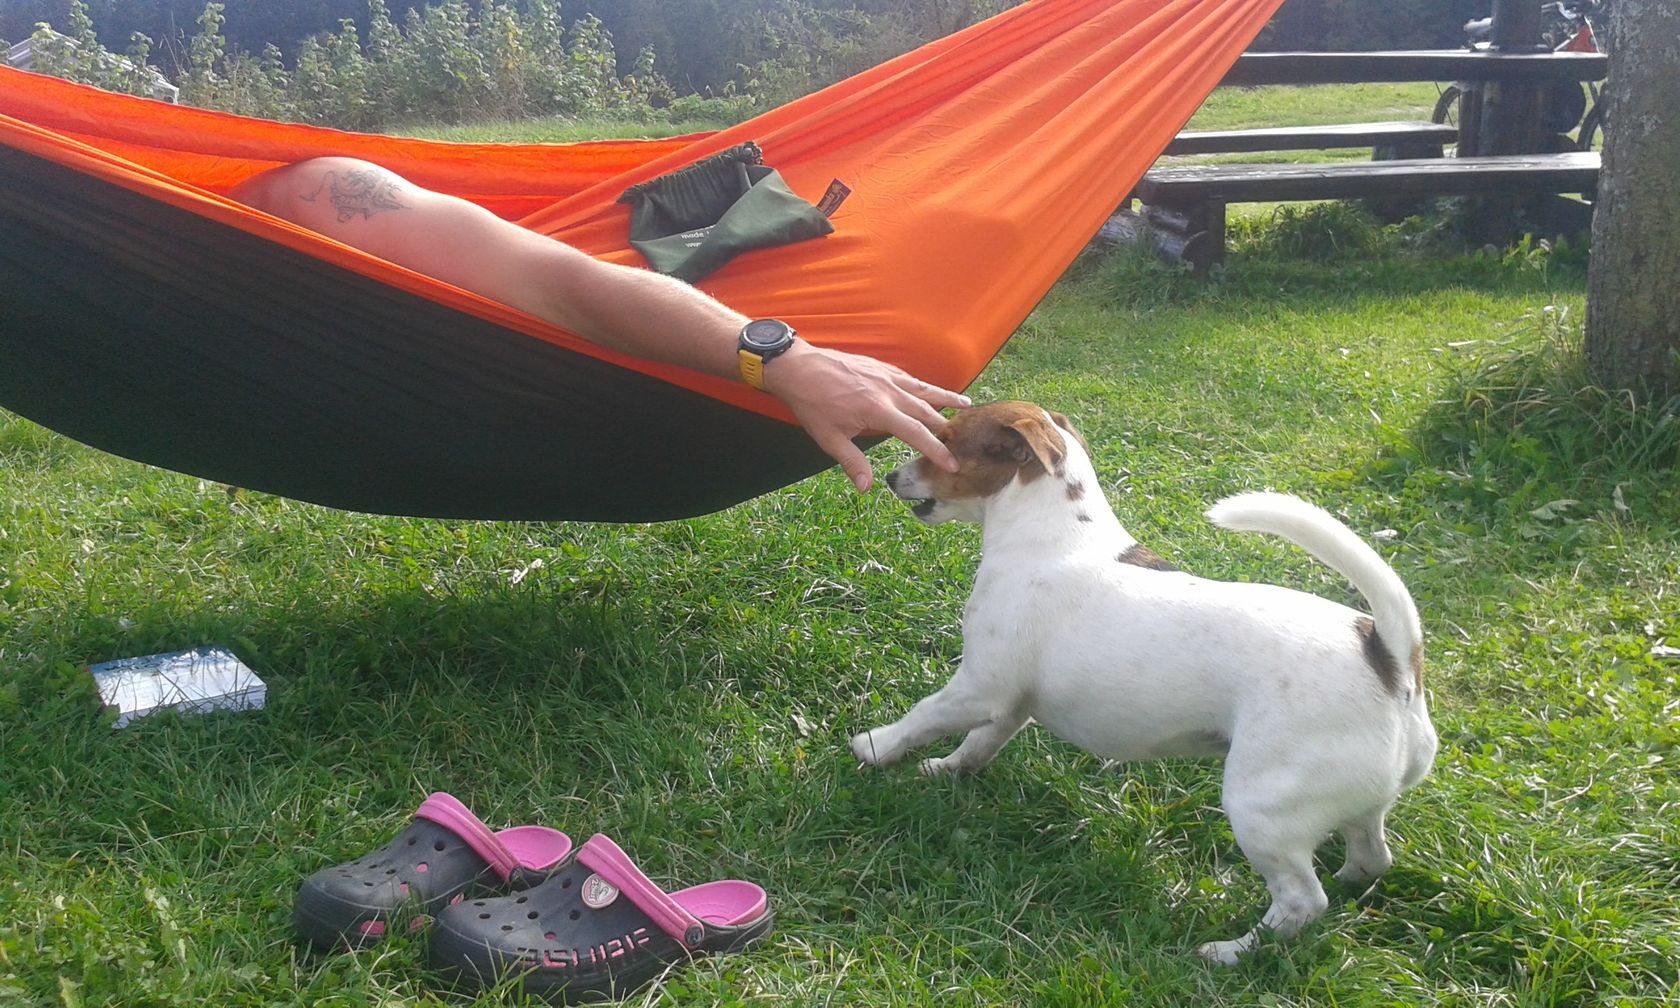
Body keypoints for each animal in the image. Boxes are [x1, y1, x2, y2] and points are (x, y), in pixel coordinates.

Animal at [851, 401, 1437, 963]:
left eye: (944, 443)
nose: (891, 476)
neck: (1055, 533)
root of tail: (1388, 655)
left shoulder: (979, 687)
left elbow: (923, 716)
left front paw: (874, 747)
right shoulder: (1010, 701)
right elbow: (978, 744)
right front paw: (947, 769)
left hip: (1261, 808)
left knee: (1300, 900)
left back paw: (1232, 952)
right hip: (1356, 806)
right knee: (1370, 856)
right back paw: (1346, 885)